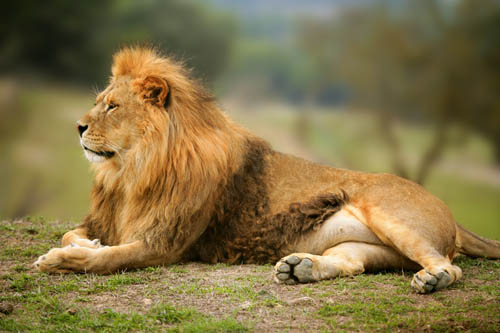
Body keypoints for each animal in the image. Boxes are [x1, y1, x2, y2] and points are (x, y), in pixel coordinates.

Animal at [33, 47, 498, 294]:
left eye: (112, 106)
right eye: (99, 101)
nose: (77, 126)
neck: (130, 171)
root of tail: (447, 208)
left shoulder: (165, 243)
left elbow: (106, 259)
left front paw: (61, 259)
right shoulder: (109, 219)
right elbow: (75, 234)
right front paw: (86, 244)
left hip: (390, 213)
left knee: (450, 266)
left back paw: (432, 279)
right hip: (367, 247)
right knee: (354, 263)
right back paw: (299, 268)